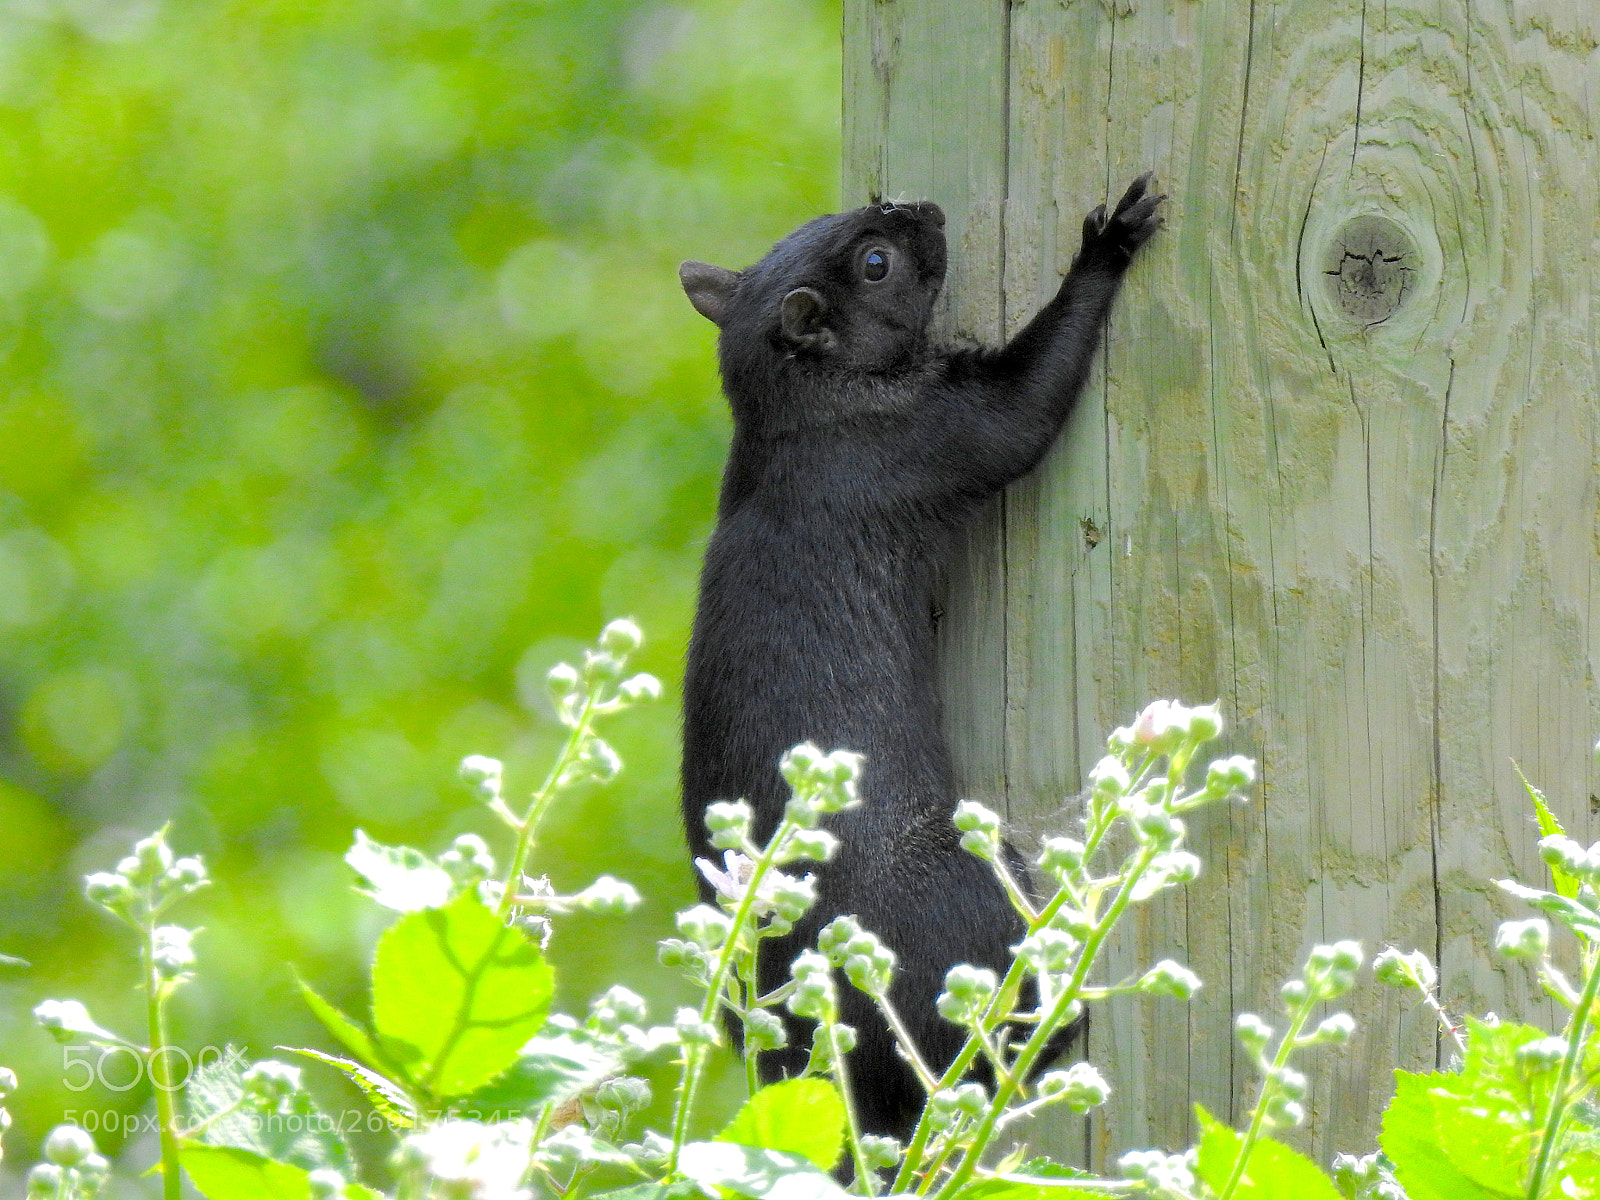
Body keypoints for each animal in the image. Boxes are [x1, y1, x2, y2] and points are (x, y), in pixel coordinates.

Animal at [678, 174, 1163, 1138]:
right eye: (876, 262)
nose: (924, 209)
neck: (804, 412)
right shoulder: (928, 436)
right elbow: (1024, 409)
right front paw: (1106, 245)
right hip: (962, 894)